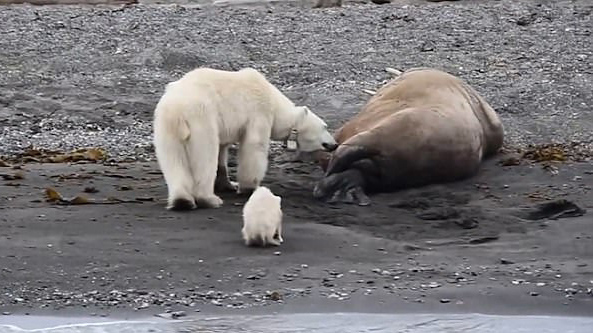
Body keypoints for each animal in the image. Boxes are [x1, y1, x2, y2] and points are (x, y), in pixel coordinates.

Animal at [153, 66, 336, 209]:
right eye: (325, 126)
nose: (334, 144)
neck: (275, 102)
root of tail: (178, 109)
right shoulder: (259, 112)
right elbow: (254, 147)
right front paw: (250, 187)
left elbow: (222, 150)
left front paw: (228, 184)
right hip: (202, 118)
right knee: (205, 155)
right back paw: (209, 199)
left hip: (165, 125)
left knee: (173, 159)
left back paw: (182, 200)